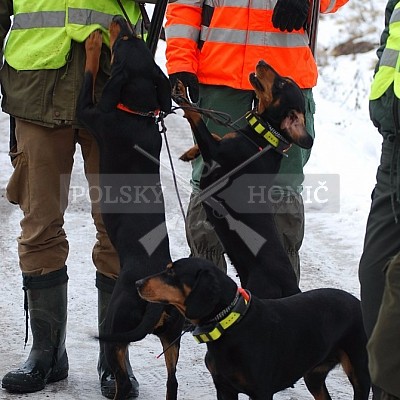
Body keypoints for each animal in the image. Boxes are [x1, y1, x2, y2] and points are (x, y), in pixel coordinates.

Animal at [76, 16, 184, 400]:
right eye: (132, 36)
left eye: (123, 41)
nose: (119, 19)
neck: (136, 114)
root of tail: (155, 302)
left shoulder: (90, 113)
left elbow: (89, 75)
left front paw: (92, 44)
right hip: (172, 338)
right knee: (172, 382)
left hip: (115, 329)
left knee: (122, 382)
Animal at [138, 260, 372, 400]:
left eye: (172, 273)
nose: (137, 282)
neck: (231, 325)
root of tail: (359, 303)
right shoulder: (224, 387)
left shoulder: (260, 392)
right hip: (314, 376)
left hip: (360, 372)